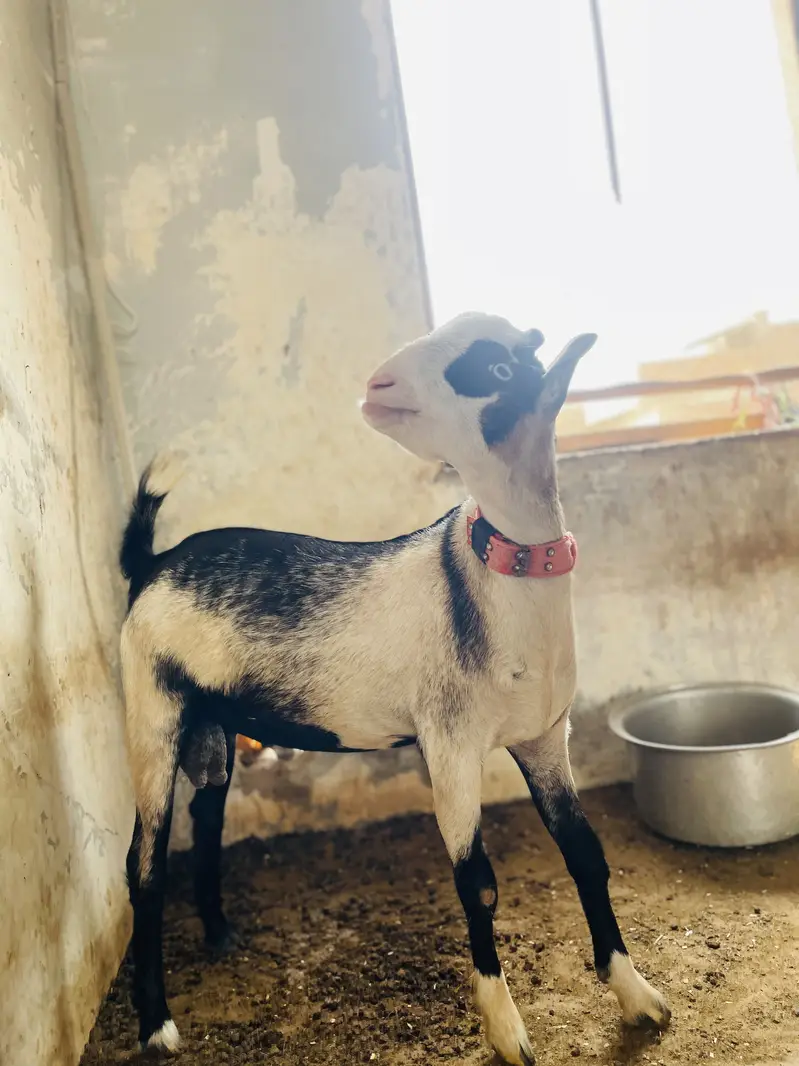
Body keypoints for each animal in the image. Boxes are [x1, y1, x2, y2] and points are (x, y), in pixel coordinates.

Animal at [119, 313, 670, 1065]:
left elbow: (586, 854)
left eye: (498, 369)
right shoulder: (450, 746)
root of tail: (149, 565)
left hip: (213, 725)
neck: (493, 578)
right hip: (152, 712)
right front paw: (506, 1031)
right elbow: (478, 884)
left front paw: (638, 996)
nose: (378, 384)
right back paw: (156, 1025)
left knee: (206, 822)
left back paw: (222, 936)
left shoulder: (543, 739)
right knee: (144, 866)